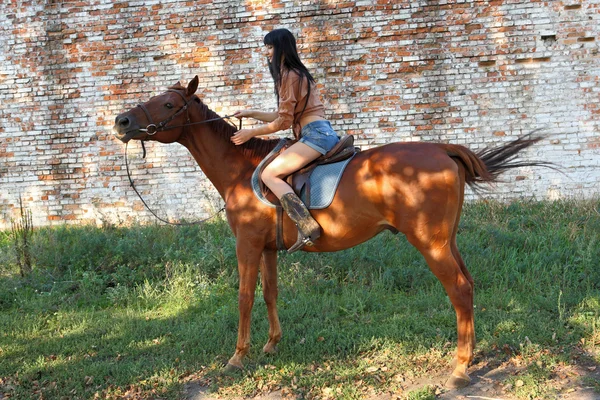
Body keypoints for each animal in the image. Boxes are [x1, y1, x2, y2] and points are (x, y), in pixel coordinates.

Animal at [113, 75, 552, 388]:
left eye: (169, 104)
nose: (122, 121)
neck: (243, 168)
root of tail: (442, 149)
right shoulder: (268, 248)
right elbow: (270, 293)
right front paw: (271, 344)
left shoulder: (247, 244)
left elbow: (244, 298)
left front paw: (238, 356)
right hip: (448, 240)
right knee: (469, 286)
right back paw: (470, 356)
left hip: (431, 243)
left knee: (458, 290)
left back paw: (460, 370)